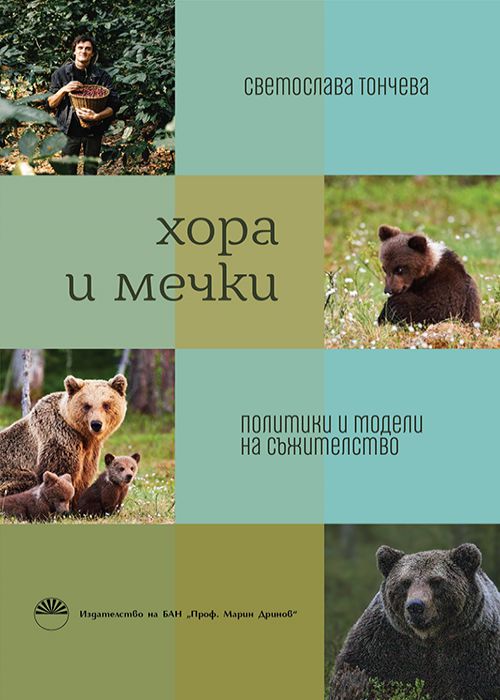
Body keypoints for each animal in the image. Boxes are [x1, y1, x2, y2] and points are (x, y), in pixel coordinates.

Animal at [331, 543, 500, 700]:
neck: (429, 638)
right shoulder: (382, 642)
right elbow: (356, 672)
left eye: (436, 581)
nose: (415, 606)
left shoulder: (477, 647)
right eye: (405, 582)